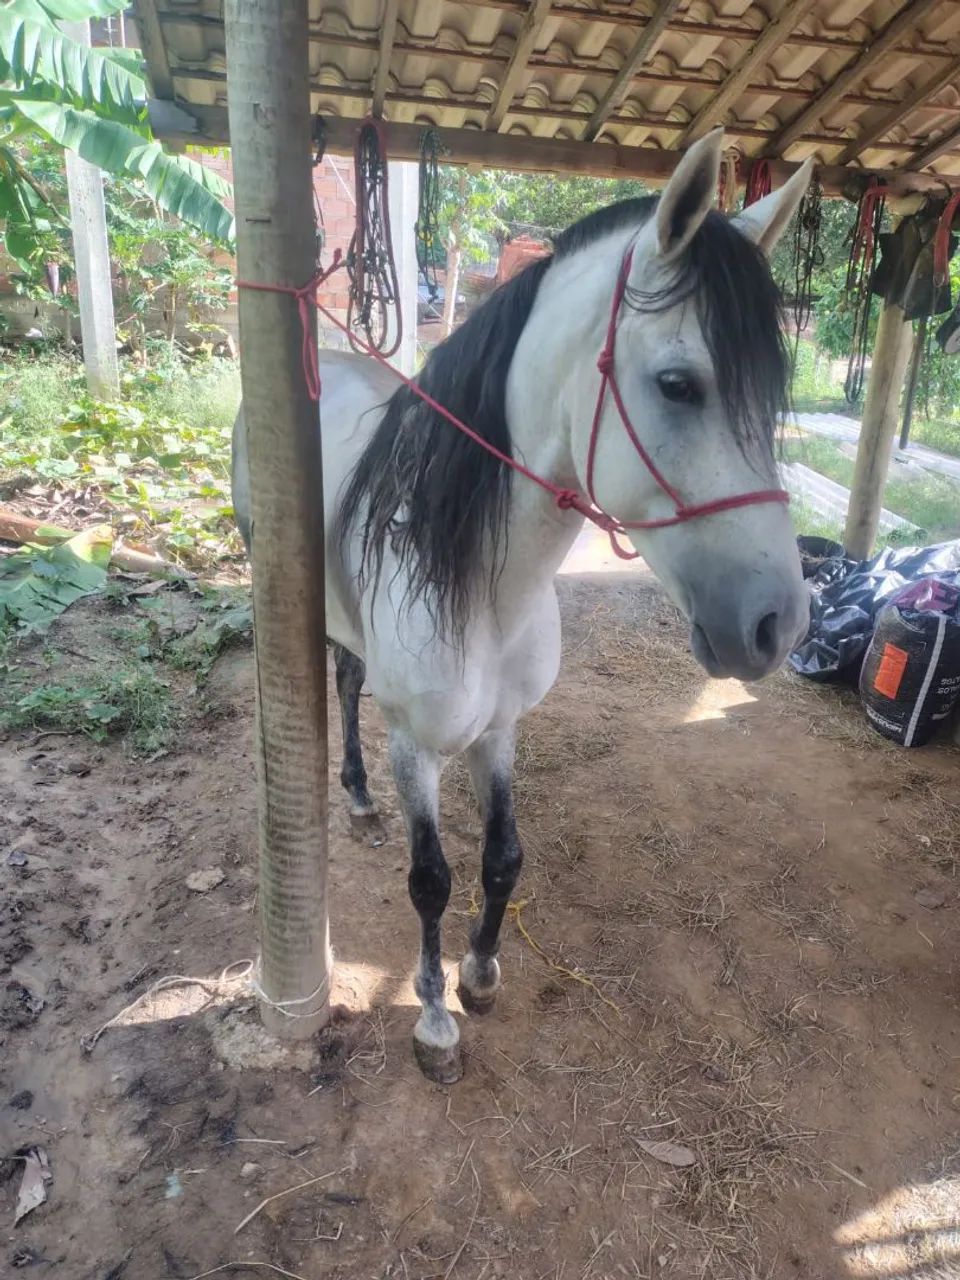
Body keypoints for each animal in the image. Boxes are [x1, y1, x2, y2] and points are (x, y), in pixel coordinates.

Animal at [232, 129, 813, 1083]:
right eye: (678, 383)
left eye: (771, 390)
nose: (778, 626)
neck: (483, 591)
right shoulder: (416, 747)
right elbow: (430, 878)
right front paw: (434, 1018)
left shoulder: (502, 731)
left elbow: (503, 858)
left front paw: (481, 973)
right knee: (342, 687)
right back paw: (352, 793)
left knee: (349, 675)